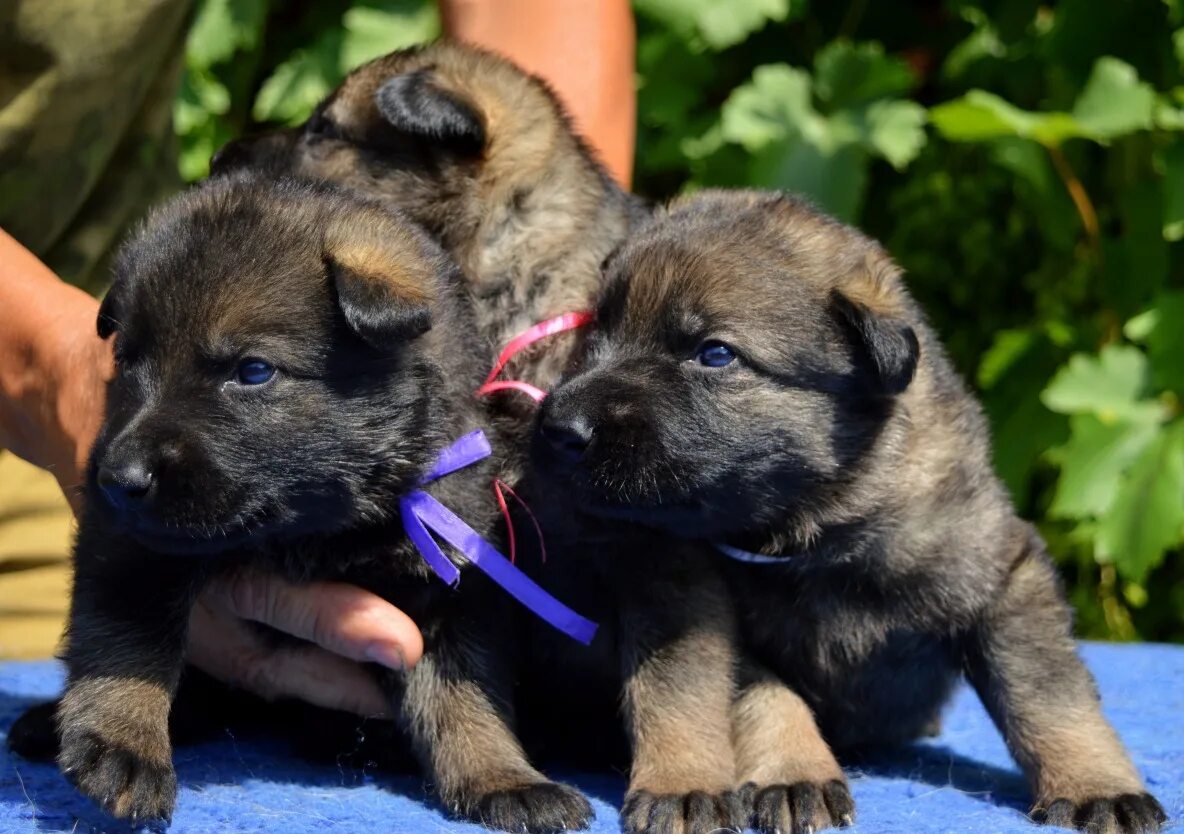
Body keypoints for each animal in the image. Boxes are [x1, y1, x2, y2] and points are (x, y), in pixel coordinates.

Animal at [535, 190, 1165, 834]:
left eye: (714, 354)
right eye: (597, 334)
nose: (559, 428)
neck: (819, 533)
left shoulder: (1000, 575)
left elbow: (1047, 691)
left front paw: (1096, 782)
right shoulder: (710, 605)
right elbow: (767, 696)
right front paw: (795, 773)